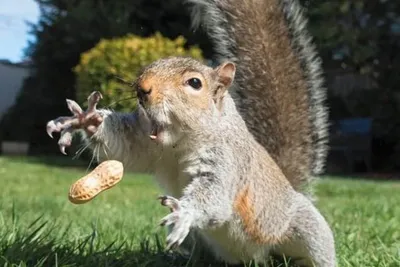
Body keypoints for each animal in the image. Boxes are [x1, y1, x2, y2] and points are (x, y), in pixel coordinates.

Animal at [45, 0, 336, 267]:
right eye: (151, 65)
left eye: (195, 83)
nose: (142, 88)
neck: (179, 143)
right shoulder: (143, 143)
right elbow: (123, 147)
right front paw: (86, 119)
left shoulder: (228, 161)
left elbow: (215, 194)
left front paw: (185, 211)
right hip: (200, 240)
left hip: (304, 229)